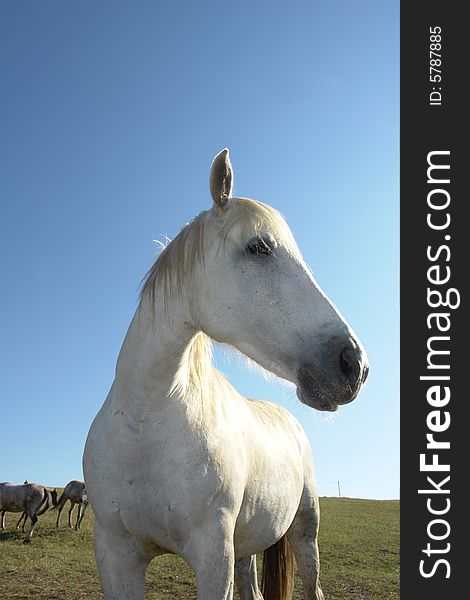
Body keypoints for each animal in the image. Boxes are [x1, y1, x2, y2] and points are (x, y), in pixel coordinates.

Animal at [84, 150, 370, 600]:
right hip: (246, 546)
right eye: (259, 247)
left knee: (312, 583)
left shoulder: (213, 555)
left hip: (305, 529)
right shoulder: (115, 553)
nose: (354, 364)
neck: (146, 420)